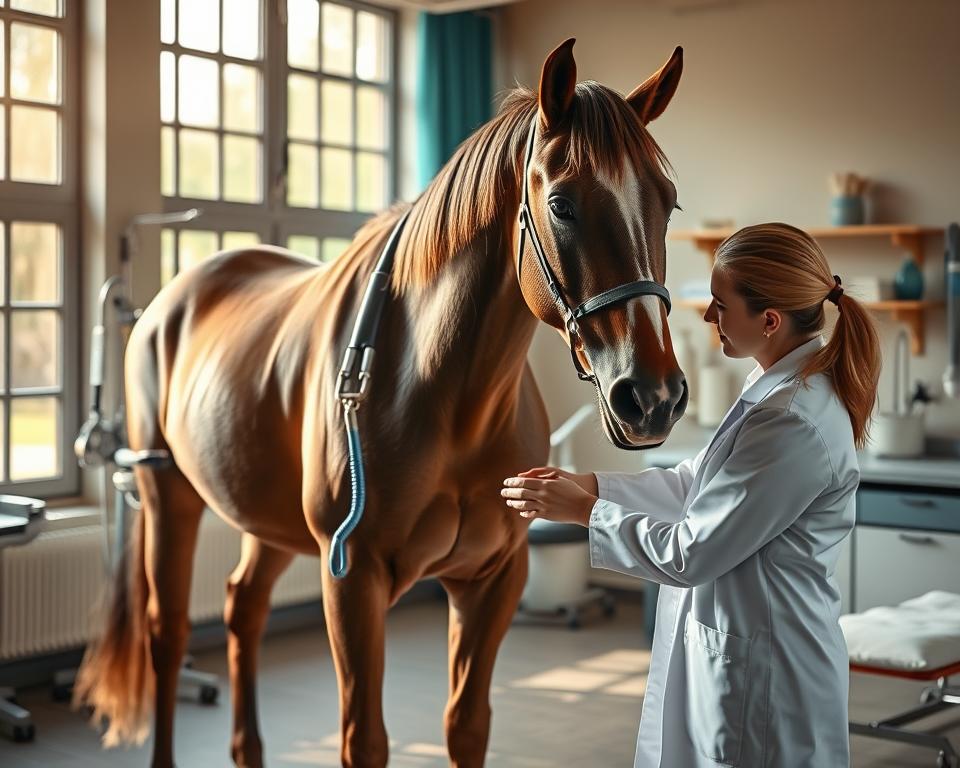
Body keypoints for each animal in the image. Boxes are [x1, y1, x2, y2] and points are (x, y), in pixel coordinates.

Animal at [74, 38, 687, 768]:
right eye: (563, 205)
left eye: (668, 204)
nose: (652, 397)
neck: (450, 402)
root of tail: (171, 299)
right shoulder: (353, 579)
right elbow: (363, 739)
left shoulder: (492, 578)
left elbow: (467, 725)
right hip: (168, 495)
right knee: (166, 636)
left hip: (265, 516)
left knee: (242, 607)